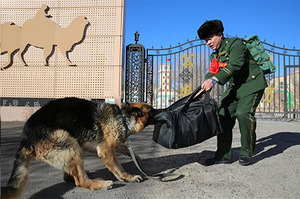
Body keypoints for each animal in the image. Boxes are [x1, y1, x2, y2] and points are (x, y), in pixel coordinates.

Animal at [1, 97, 161, 198]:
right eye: (152, 111)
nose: (164, 109)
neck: (122, 118)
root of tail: (25, 140)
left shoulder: (104, 145)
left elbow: (123, 147)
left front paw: (136, 156)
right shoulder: (106, 151)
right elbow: (118, 168)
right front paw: (129, 177)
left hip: (72, 148)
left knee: (69, 175)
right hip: (70, 144)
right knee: (80, 181)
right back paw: (100, 184)